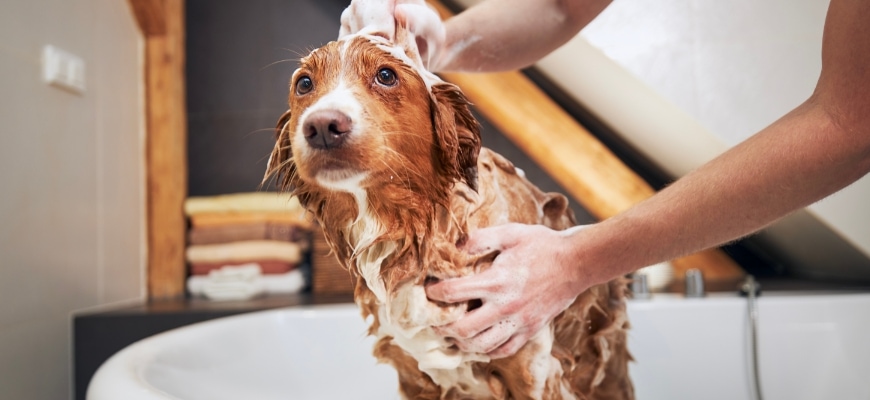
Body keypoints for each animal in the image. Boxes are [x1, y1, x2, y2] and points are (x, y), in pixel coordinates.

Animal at [266, 10, 632, 398]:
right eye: (304, 84)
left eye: (386, 75)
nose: (322, 126)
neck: (412, 231)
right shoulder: (413, 376)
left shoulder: (529, 369)